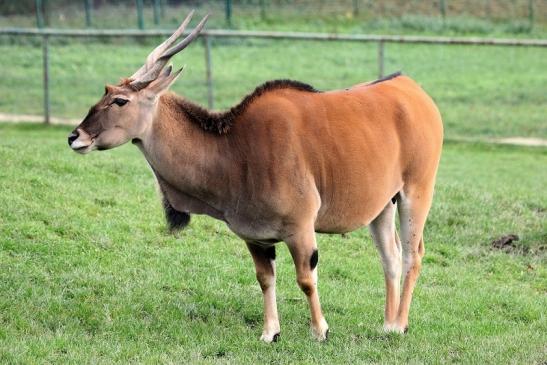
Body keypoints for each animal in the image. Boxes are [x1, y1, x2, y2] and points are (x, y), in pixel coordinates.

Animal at [68, 11, 446, 342]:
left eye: (119, 100)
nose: (75, 136)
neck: (236, 150)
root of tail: (412, 89)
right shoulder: (256, 237)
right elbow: (265, 278)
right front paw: (270, 333)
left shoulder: (300, 228)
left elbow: (306, 278)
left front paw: (320, 331)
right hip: (382, 206)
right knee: (390, 258)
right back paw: (387, 324)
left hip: (416, 194)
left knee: (412, 255)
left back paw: (400, 326)